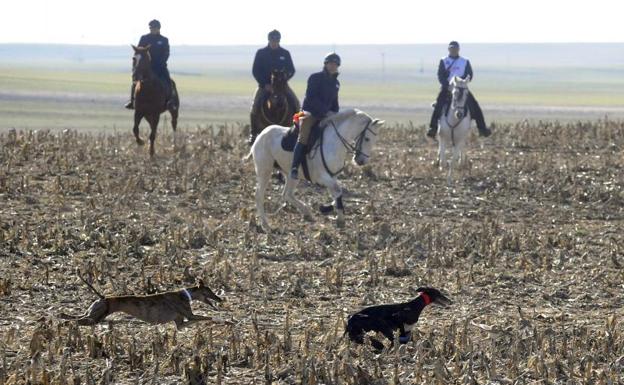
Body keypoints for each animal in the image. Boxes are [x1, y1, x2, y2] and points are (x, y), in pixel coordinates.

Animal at [60, 272, 224, 328]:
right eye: (209, 290)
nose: (220, 299)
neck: (185, 294)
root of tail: (103, 297)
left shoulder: (180, 323)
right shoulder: (190, 316)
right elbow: (207, 317)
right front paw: (223, 320)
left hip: (92, 313)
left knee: (70, 316)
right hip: (94, 318)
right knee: (73, 321)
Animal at [245, 109, 382, 232]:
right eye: (367, 139)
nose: (361, 161)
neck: (334, 141)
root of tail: (261, 135)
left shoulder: (332, 177)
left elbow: (336, 194)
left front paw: (328, 209)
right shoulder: (322, 177)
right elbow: (338, 192)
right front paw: (340, 219)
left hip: (291, 175)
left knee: (287, 194)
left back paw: (307, 212)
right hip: (264, 171)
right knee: (259, 195)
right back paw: (266, 225)